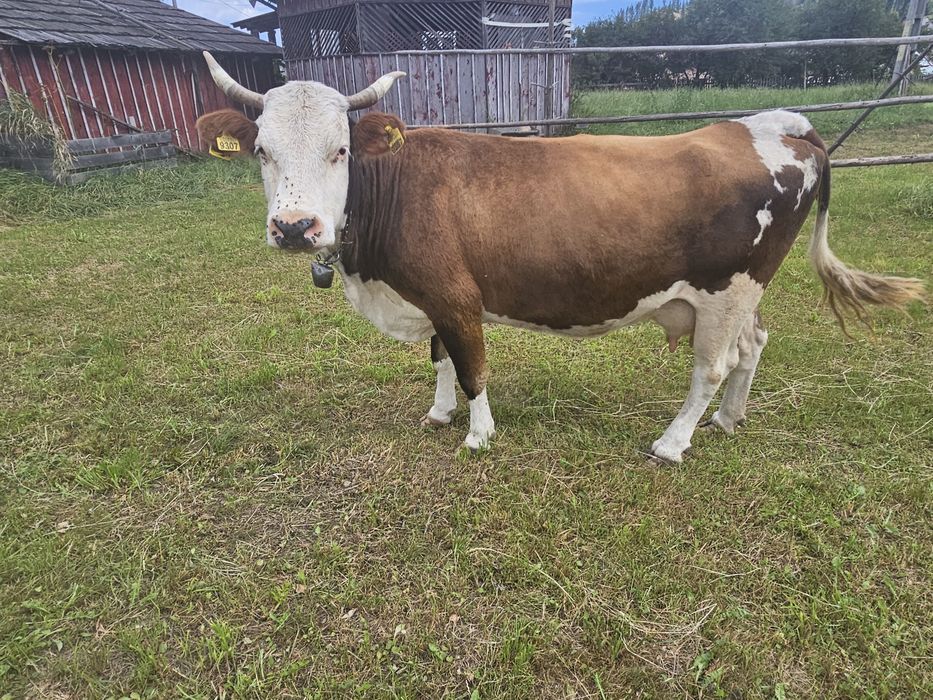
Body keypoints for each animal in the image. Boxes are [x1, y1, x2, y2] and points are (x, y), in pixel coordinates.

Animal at [196, 51, 923, 463]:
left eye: (340, 149)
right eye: (261, 151)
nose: (295, 228)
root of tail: (776, 124)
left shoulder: (456, 294)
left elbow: (471, 367)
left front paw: (477, 434)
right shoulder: (429, 294)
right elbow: (440, 358)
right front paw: (438, 413)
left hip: (727, 289)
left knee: (711, 368)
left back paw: (674, 442)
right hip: (742, 292)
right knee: (753, 348)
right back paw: (727, 419)